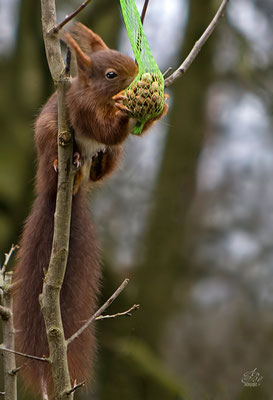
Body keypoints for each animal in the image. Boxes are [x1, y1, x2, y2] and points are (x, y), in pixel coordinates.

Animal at [13, 23, 168, 398]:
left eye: (130, 59)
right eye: (111, 74)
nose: (136, 75)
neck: (97, 96)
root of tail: (59, 190)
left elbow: (118, 137)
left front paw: (158, 108)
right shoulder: (79, 109)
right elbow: (103, 130)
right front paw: (126, 111)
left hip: (106, 163)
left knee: (105, 163)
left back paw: (96, 164)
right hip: (49, 137)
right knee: (63, 153)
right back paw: (64, 160)